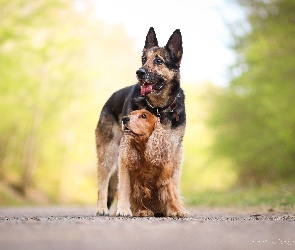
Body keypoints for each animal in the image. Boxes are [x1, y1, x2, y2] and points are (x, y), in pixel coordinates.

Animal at [96, 26, 186, 215]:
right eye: (144, 59)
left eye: (158, 61)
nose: (140, 72)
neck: (158, 108)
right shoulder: (126, 151)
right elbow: (124, 185)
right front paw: (124, 209)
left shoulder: (175, 151)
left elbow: (172, 183)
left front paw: (174, 209)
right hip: (108, 154)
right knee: (103, 182)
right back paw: (102, 208)